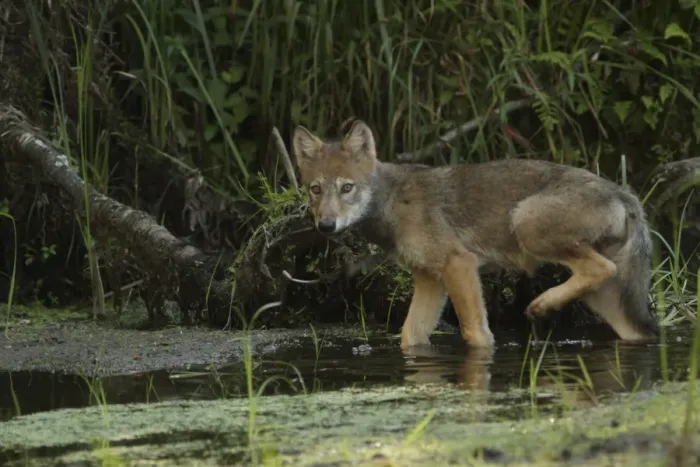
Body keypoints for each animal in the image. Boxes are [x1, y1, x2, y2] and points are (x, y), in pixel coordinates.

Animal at [292, 119, 660, 349]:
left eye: (347, 188)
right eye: (315, 190)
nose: (326, 226)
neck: (392, 203)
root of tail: (623, 193)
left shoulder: (459, 265)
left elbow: (475, 333)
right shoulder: (428, 280)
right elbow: (409, 336)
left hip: (526, 223)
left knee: (600, 268)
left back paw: (539, 305)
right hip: (609, 302)